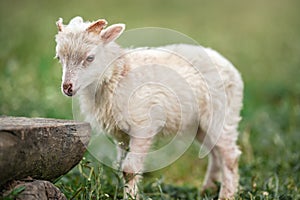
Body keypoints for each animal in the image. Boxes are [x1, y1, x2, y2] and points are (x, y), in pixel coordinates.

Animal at [55, 16, 244, 199]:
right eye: (59, 58)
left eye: (90, 57)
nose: (67, 88)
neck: (118, 75)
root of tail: (229, 66)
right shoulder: (121, 134)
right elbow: (121, 166)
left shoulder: (143, 124)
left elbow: (129, 169)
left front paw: (131, 196)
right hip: (200, 124)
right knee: (215, 153)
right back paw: (208, 188)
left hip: (221, 114)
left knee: (229, 155)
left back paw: (227, 195)